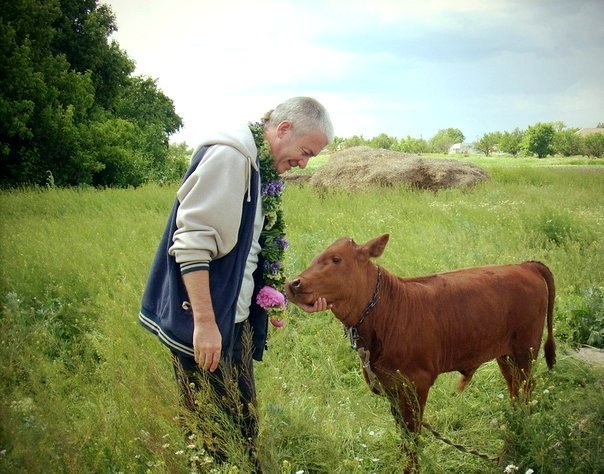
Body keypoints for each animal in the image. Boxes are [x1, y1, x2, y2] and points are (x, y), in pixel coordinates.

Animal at [286, 232, 556, 466]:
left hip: (525, 350)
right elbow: (402, 435)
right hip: (506, 355)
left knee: (525, 392)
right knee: (515, 393)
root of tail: (524, 266)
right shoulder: (391, 386)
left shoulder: (417, 383)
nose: (292, 284)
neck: (386, 312)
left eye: (336, 259)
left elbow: (411, 438)